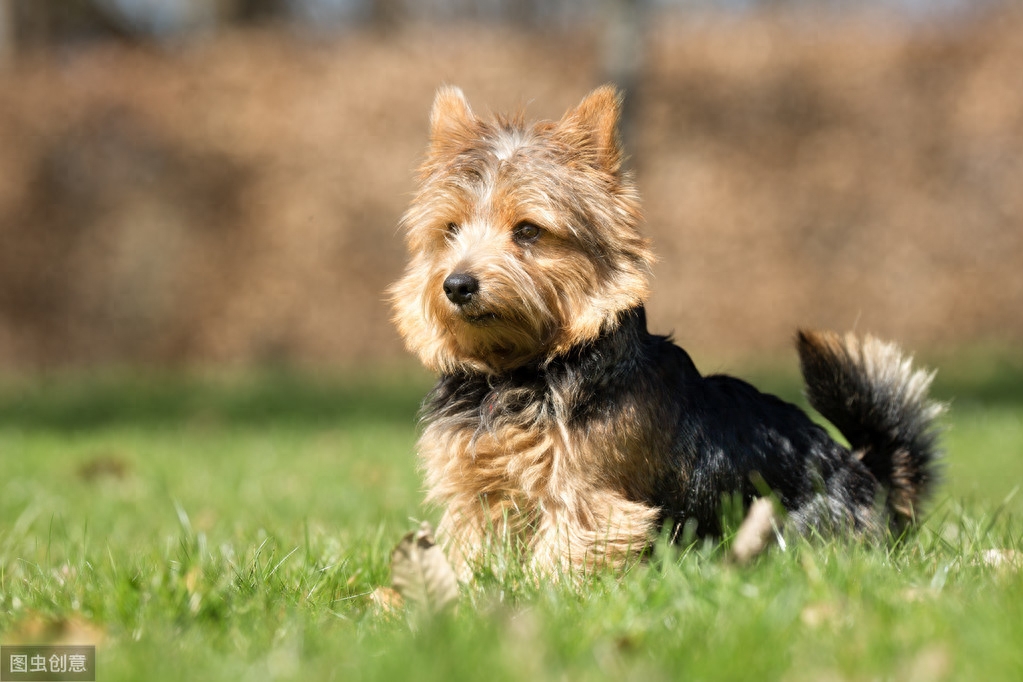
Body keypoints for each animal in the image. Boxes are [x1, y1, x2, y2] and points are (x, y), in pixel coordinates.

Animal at [388, 85, 941, 576]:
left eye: (528, 231)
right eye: (450, 231)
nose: (457, 284)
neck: (519, 371)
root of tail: (867, 474)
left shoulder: (585, 494)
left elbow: (564, 553)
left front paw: (544, 596)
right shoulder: (474, 492)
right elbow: (472, 550)